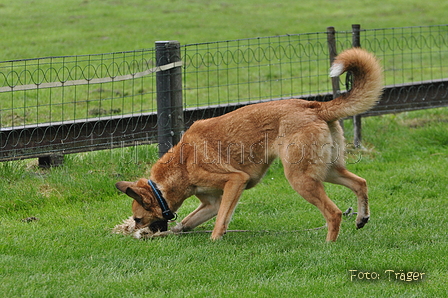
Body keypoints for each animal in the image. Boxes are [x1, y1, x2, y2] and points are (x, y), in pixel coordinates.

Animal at [115, 47, 382, 241]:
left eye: (137, 219)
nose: (138, 231)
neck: (181, 166)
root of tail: (314, 106)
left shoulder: (235, 181)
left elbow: (222, 220)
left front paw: (214, 240)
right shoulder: (212, 203)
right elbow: (187, 223)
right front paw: (171, 233)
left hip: (300, 178)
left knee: (334, 213)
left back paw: (328, 245)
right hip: (326, 170)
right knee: (360, 183)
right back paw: (361, 218)